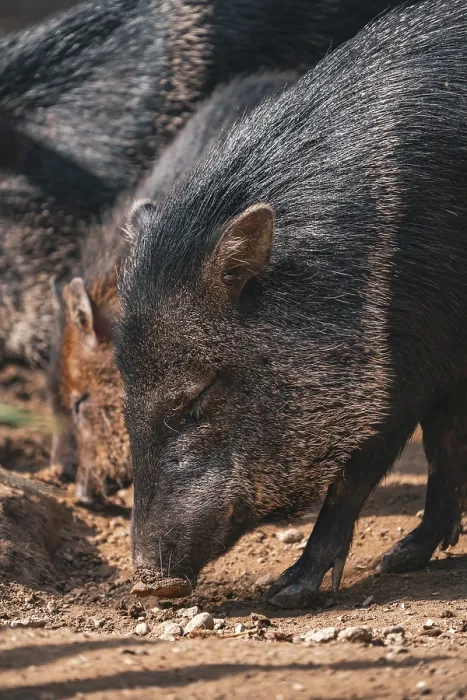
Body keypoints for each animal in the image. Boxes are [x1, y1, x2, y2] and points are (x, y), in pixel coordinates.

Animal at [116, 0, 467, 608]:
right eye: (125, 400)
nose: (149, 585)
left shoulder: (407, 364)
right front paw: (401, 559)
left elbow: (361, 469)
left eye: (199, 394)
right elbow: (444, 443)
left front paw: (287, 592)